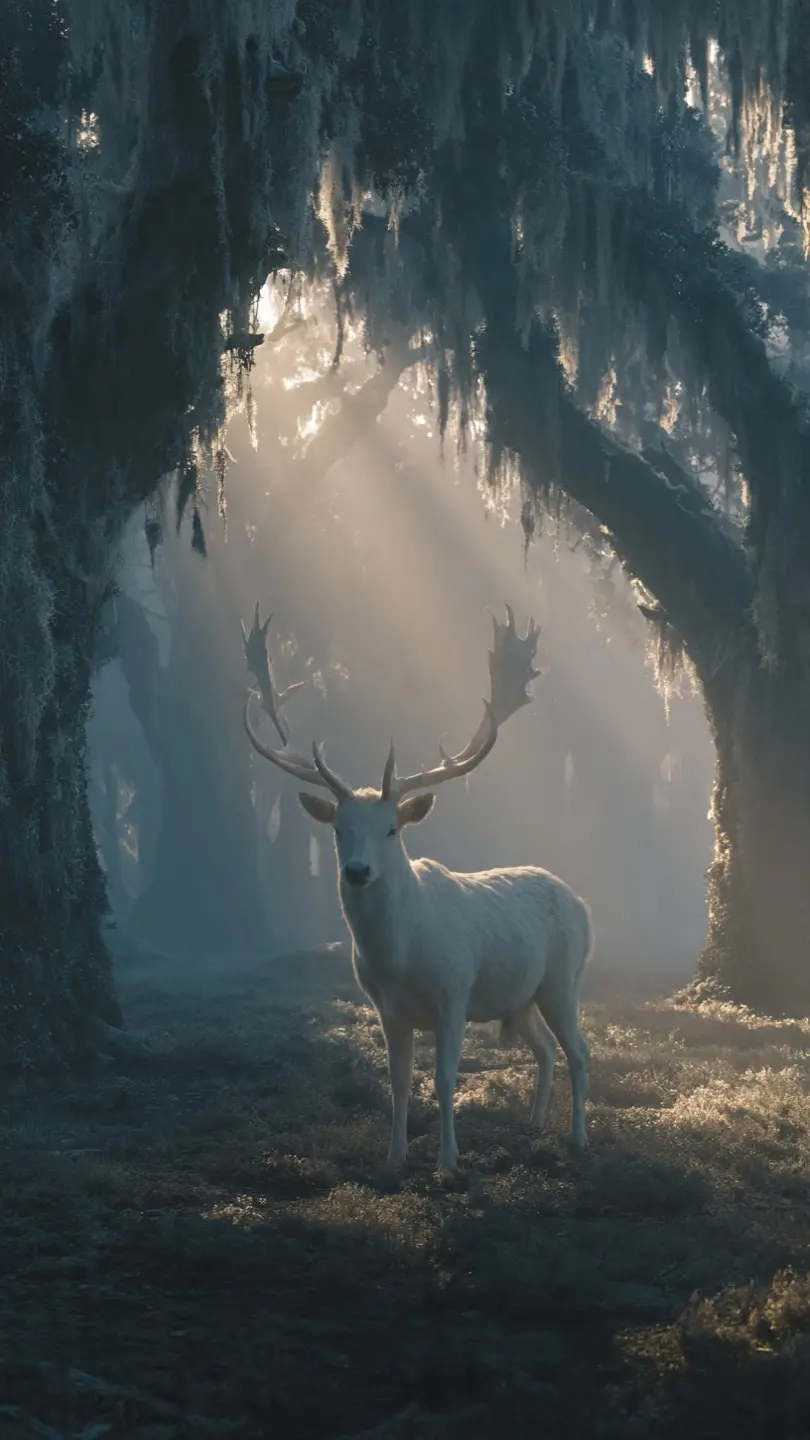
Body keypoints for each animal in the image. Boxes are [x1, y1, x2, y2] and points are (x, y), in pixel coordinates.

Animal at [241, 603, 593, 1176]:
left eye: (392, 829)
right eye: (338, 828)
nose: (357, 871)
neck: (398, 959)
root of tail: (580, 902)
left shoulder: (454, 993)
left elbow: (445, 1079)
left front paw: (449, 1161)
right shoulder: (386, 1008)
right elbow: (399, 1081)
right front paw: (394, 1157)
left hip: (564, 978)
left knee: (579, 1050)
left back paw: (579, 1138)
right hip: (520, 996)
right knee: (544, 1049)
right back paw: (535, 1123)